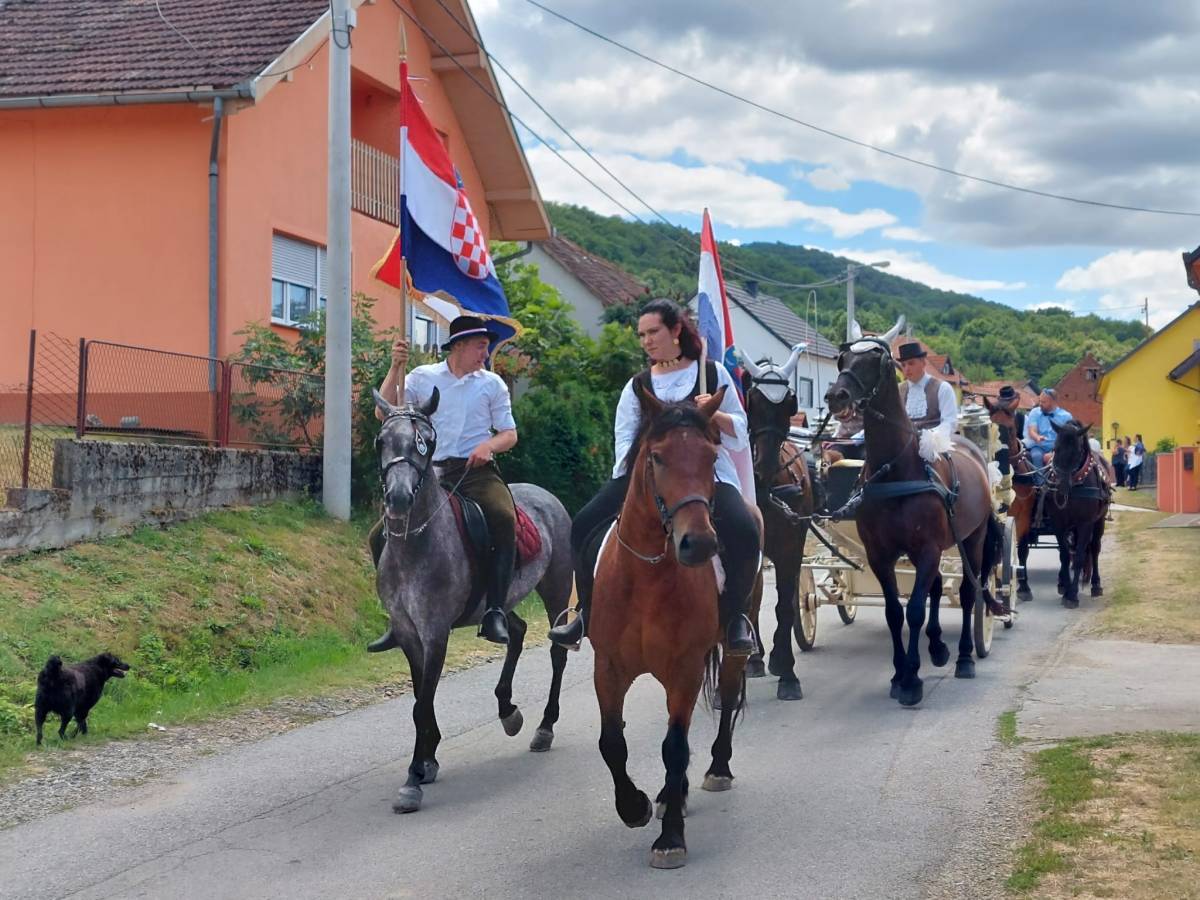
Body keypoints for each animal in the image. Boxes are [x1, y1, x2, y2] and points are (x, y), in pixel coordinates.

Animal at [372, 388, 573, 816]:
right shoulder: (408, 632)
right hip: (501, 601)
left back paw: (544, 727)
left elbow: (422, 703)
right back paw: (507, 710)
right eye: (382, 441)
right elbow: (420, 698)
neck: (416, 543)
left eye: (424, 443)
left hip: (557, 587)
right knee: (516, 630)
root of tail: (546, 496)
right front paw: (428, 760)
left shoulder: (435, 633)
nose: (397, 499)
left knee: (557, 652)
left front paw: (413, 778)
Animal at [590, 384, 758, 868]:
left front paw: (670, 839)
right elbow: (613, 742)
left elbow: (675, 747)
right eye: (658, 457)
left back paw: (716, 769)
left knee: (726, 700)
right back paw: (670, 795)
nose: (698, 543)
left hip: (730, 649)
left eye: (711, 455)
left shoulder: (684, 667)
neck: (647, 574)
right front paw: (635, 806)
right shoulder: (608, 668)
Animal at [830, 326, 998, 710]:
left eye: (876, 359)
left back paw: (964, 657)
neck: (895, 471)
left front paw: (911, 681)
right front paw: (899, 673)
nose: (835, 396)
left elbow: (916, 610)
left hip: (972, 539)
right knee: (936, 587)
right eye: (842, 358)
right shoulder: (881, 555)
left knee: (968, 592)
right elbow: (895, 612)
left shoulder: (927, 549)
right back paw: (936, 647)